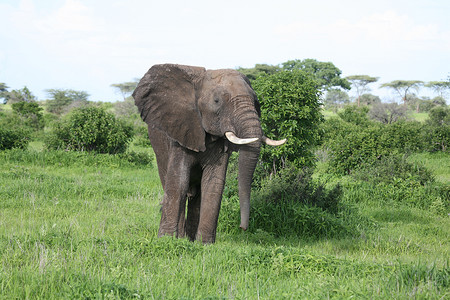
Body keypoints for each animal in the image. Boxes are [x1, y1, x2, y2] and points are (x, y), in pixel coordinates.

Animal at [132, 63, 284, 244]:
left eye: (255, 101)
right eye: (217, 101)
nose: (243, 227)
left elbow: (213, 183)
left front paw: (205, 244)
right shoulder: (180, 131)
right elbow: (179, 181)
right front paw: (167, 240)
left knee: (197, 194)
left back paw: (190, 239)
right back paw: (181, 238)